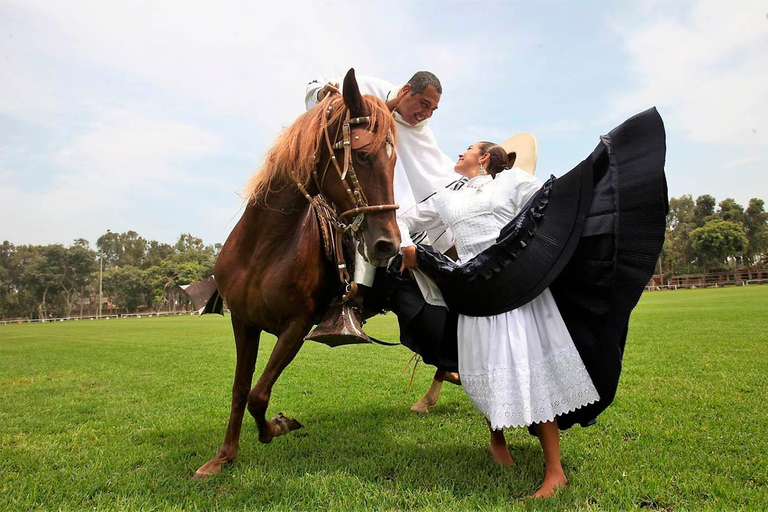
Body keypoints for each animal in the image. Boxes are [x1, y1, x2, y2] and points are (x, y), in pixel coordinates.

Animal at [194, 69, 402, 480]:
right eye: (364, 155)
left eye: (394, 161)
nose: (389, 244)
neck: (264, 248)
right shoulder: (243, 322)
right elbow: (241, 389)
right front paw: (224, 456)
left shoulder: (296, 327)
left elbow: (259, 395)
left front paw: (277, 426)